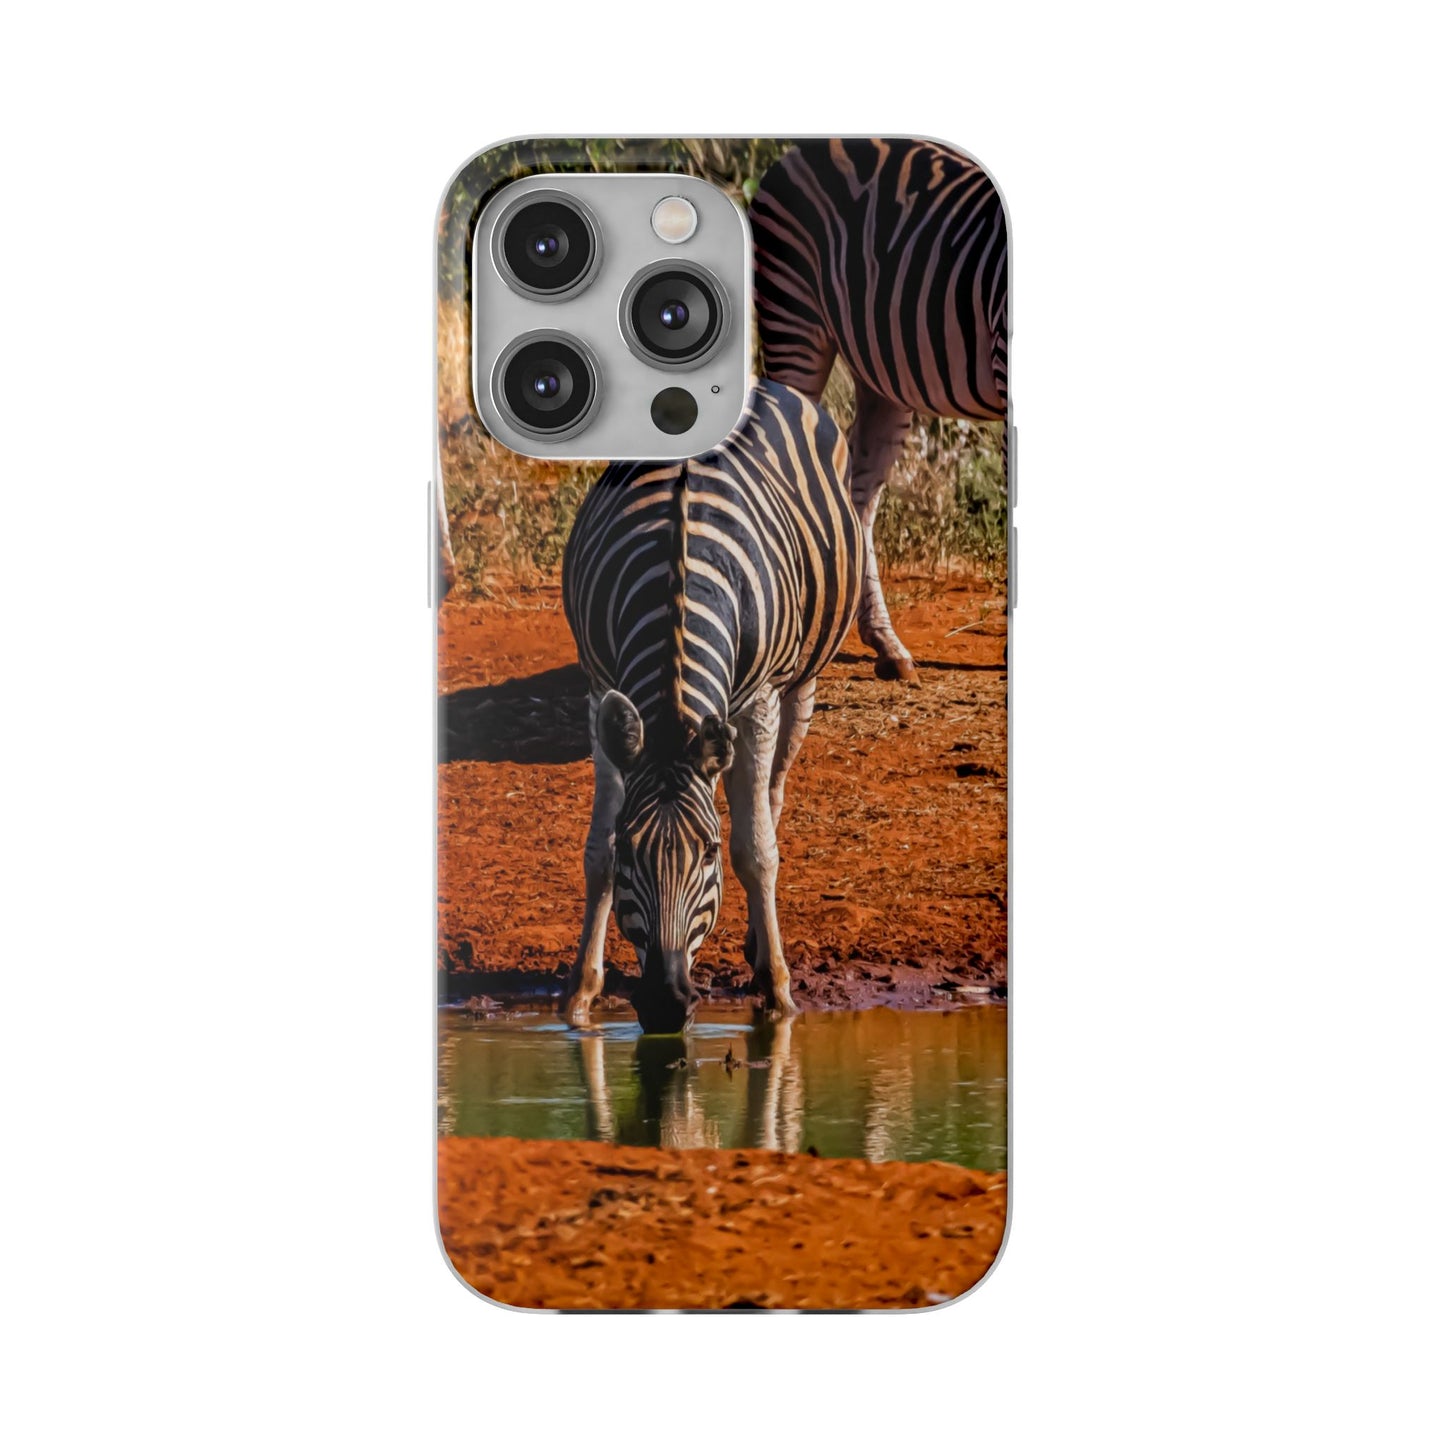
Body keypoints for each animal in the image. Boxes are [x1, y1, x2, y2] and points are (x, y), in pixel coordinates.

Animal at [560, 379, 862, 1033]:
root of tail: (764, 381)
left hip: (800, 683)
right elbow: (595, 852)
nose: (666, 1004)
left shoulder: (760, 700)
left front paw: (778, 991)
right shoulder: (598, 689)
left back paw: (758, 945)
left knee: (770, 798)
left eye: (708, 854)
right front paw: (581, 993)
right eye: (632, 849)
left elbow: (756, 850)